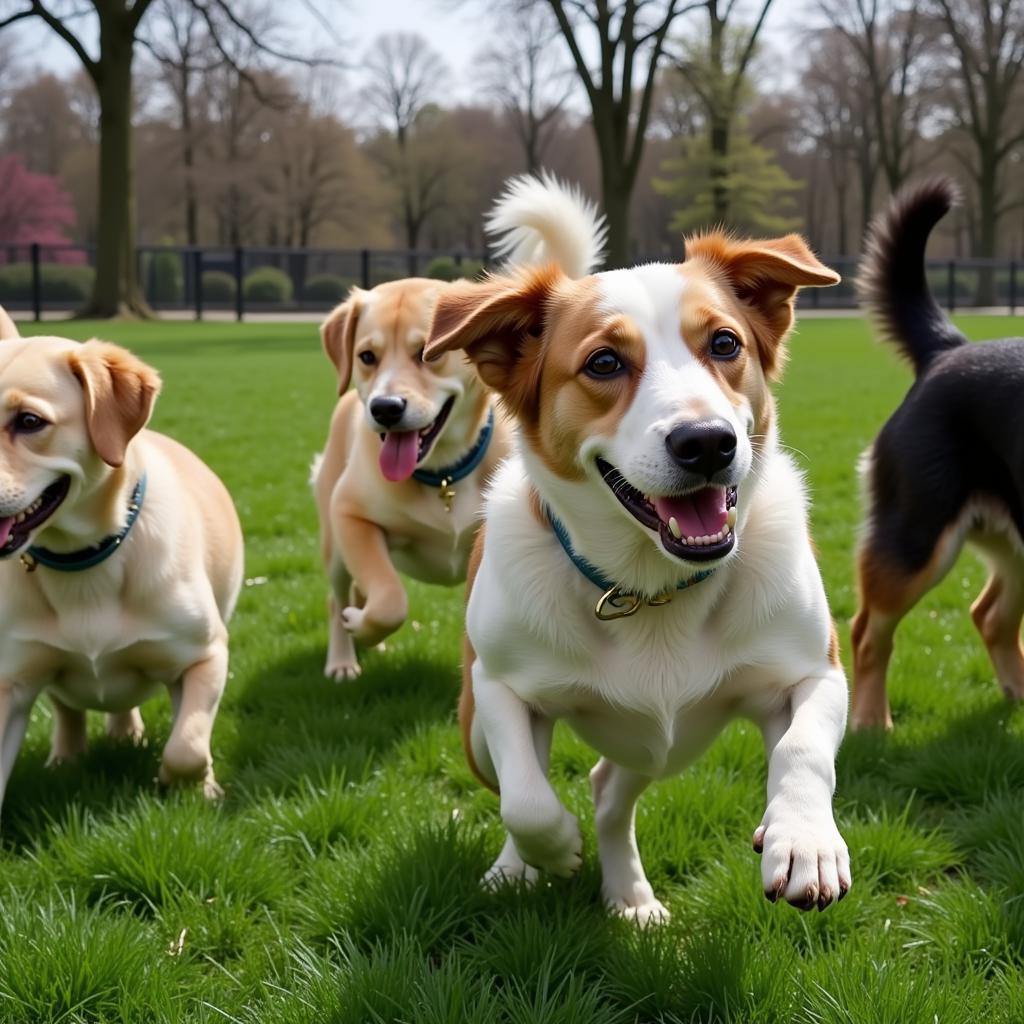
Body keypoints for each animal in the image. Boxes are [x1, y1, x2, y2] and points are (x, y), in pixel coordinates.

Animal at [0, 311, 242, 815]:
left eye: (30, 421)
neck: (81, 564)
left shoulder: (205, 655)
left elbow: (187, 746)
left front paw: (190, 785)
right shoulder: (9, 680)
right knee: (69, 708)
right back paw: (67, 757)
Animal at [309, 278, 512, 679]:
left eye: (427, 354)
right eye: (367, 356)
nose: (385, 408)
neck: (445, 476)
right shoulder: (350, 514)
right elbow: (390, 600)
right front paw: (362, 627)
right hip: (334, 545)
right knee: (337, 599)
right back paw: (344, 657)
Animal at [423, 176, 847, 921]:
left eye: (725, 343)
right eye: (604, 362)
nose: (706, 442)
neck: (653, 587)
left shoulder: (814, 671)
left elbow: (803, 749)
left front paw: (804, 840)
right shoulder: (500, 687)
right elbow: (527, 801)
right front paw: (552, 849)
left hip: (653, 747)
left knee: (607, 794)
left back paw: (629, 896)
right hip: (479, 726)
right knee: (528, 785)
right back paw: (519, 868)